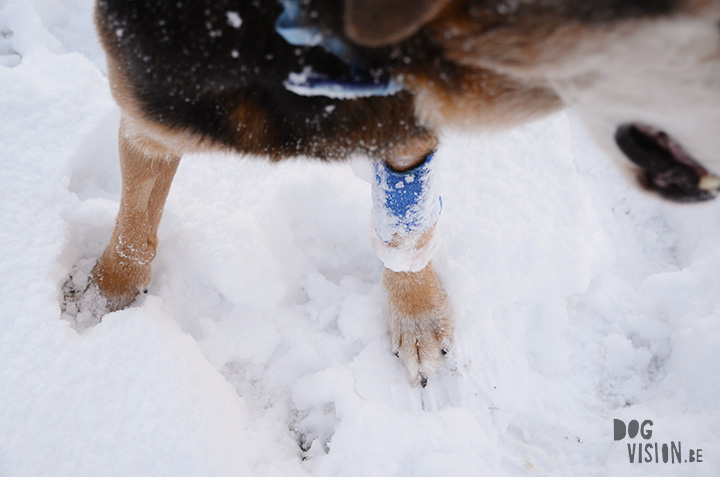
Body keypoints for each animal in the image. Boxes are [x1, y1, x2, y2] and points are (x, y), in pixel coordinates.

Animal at [90, 0, 720, 384]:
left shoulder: (406, 131)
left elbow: (406, 233)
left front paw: (418, 320)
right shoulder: (149, 110)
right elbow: (136, 222)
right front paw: (109, 294)